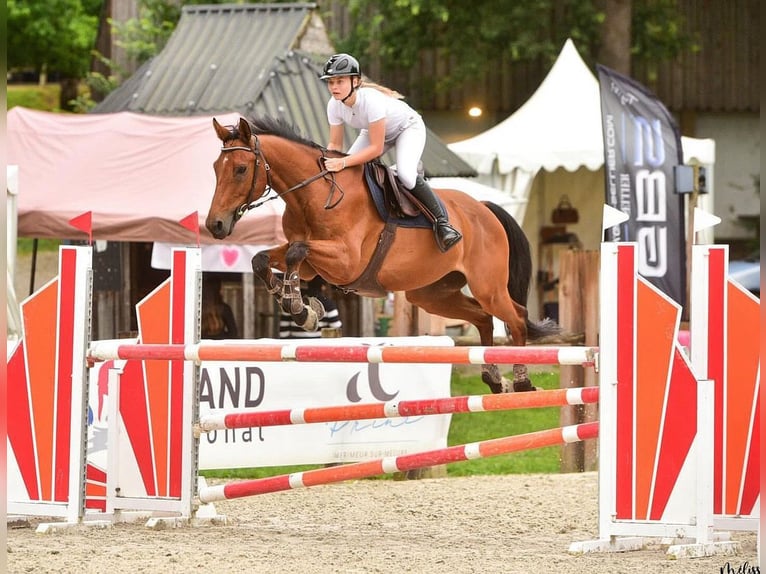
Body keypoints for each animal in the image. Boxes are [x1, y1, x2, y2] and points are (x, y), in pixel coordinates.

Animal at [207, 117, 560, 396]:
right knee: (483, 317)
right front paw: (301, 308)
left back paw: (522, 381)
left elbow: (297, 251)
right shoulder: (310, 267)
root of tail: (485, 208)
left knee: (516, 318)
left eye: (240, 169)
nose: (215, 225)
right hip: (432, 294)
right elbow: (264, 260)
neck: (314, 195)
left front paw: (300, 307)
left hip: (488, 286)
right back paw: (493, 377)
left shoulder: (346, 261)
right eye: (214, 169)